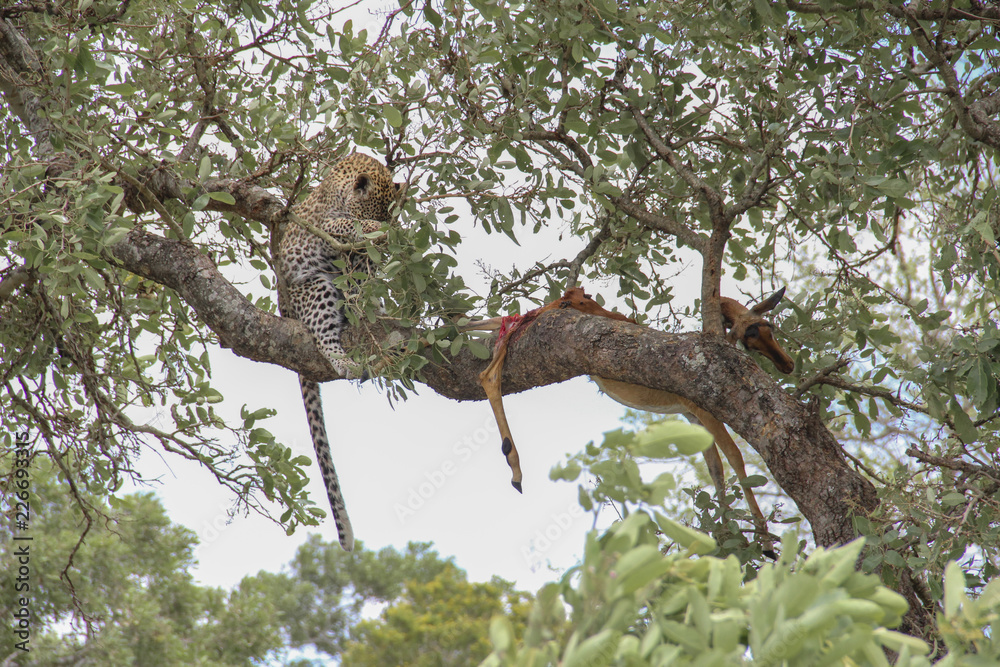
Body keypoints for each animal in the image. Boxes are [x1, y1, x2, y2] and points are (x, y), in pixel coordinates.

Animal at [278, 152, 402, 552]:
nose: (387, 232)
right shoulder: (326, 223)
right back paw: (345, 360)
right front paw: (373, 230)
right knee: (323, 338)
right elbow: (350, 225)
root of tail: (284, 308)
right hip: (315, 288)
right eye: (375, 212)